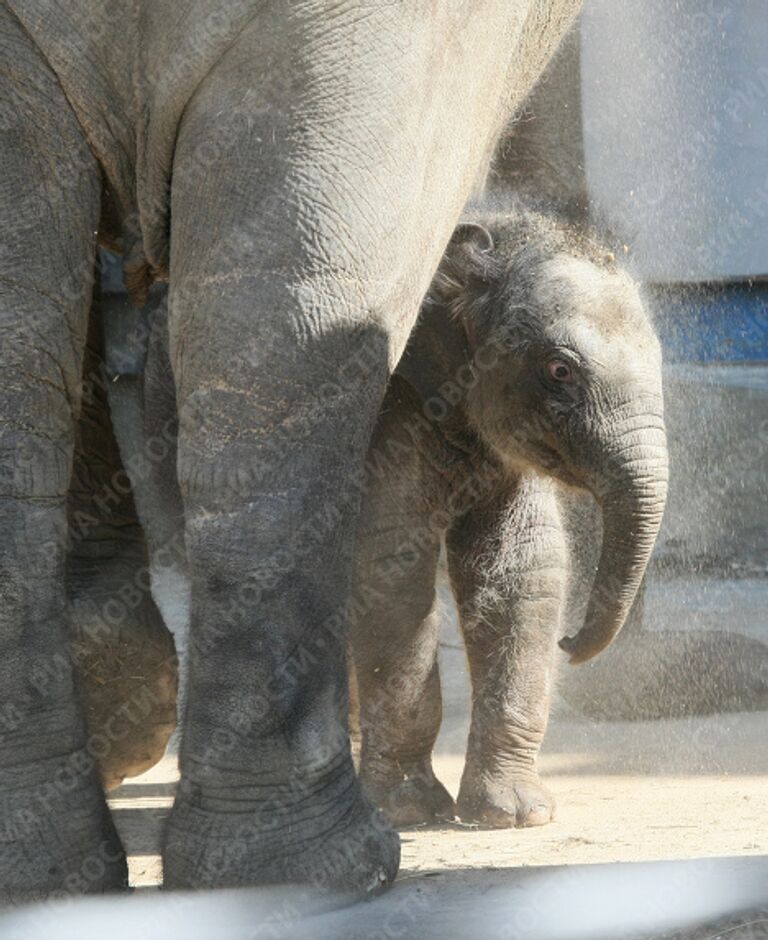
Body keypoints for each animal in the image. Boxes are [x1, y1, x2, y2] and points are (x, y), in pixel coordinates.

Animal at [348, 207, 664, 828]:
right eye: (560, 370)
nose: (571, 642)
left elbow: (523, 568)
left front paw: (517, 815)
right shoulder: (386, 416)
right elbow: (391, 566)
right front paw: (409, 813)